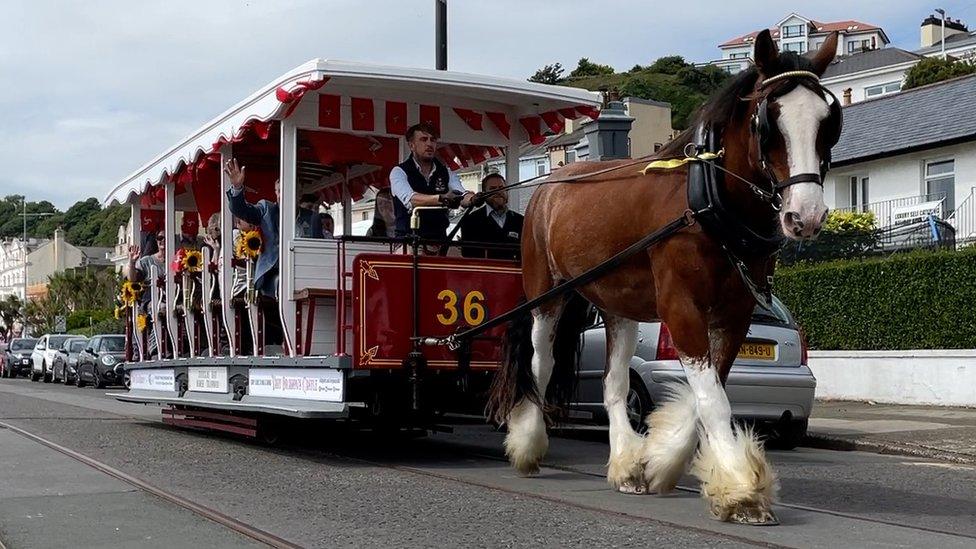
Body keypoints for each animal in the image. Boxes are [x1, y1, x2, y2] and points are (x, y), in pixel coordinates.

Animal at [492, 31, 844, 528]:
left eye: (827, 122)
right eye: (768, 122)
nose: (806, 217)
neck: (707, 203)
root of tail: (550, 182)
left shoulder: (733, 315)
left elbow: (707, 393)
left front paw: (659, 462)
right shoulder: (681, 308)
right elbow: (713, 399)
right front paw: (741, 490)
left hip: (618, 307)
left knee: (614, 385)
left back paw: (624, 464)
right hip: (546, 296)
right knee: (541, 363)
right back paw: (526, 444)